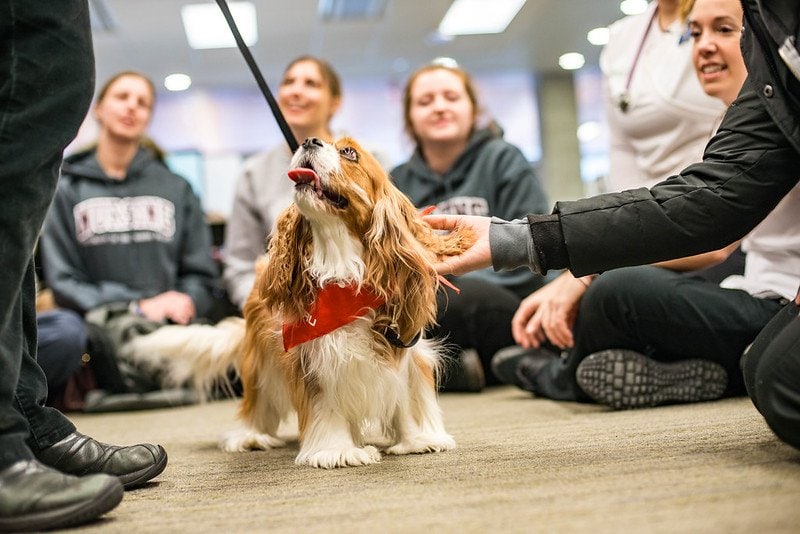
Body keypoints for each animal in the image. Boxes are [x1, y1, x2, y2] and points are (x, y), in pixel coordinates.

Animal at [123, 138, 476, 468]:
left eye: (349, 152)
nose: (309, 140)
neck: (342, 264)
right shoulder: (317, 360)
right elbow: (327, 405)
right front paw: (338, 450)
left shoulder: (406, 347)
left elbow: (408, 395)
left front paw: (418, 439)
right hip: (260, 362)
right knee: (256, 400)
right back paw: (251, 435)